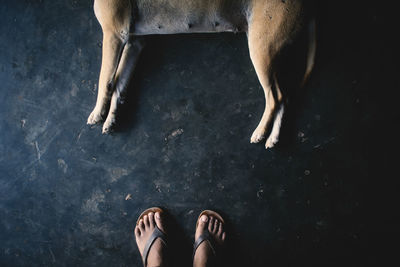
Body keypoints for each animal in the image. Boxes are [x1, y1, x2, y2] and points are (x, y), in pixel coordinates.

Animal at [87, 0, 316, 149]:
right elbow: (119, 83)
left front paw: (98, 113)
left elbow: (105, 79)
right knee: (284, 98)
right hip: (274, 53)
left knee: (274, 97)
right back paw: (273, 138)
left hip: (261, 48)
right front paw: (111, 119)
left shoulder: (114, 34)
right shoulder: (134, 42)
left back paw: (260, 133)